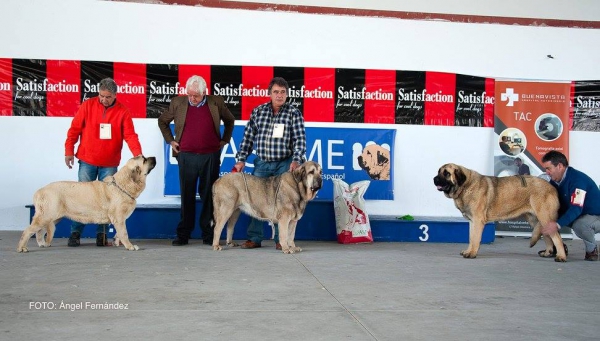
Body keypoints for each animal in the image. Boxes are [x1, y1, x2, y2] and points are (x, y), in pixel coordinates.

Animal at [17, 155, 156, 251]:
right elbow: (124, 233)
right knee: (28, 231)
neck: (122, 185)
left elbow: (118, 233)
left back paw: (41, 244)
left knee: (39, 231)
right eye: (144, 159)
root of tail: (40, 190)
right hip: (46, 215)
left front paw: (117, 243)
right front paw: (130, 246)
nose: (154, 157)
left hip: (52, 217)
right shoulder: (119, 218)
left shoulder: (119, 219)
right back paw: (22, 248)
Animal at [432, 162, 568, 260]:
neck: (465, 186)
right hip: (535, 219)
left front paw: (472, 253)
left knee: (556, 237)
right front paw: (468, 251)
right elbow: (471, 238)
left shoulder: (478, 221)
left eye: (446, 173)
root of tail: (552, 187)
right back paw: (548, 253)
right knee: (547, 235)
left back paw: (561, 256)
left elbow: (475, 238)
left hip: (544, 217)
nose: (434, 179)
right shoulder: (472, 221)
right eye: (438, 172)